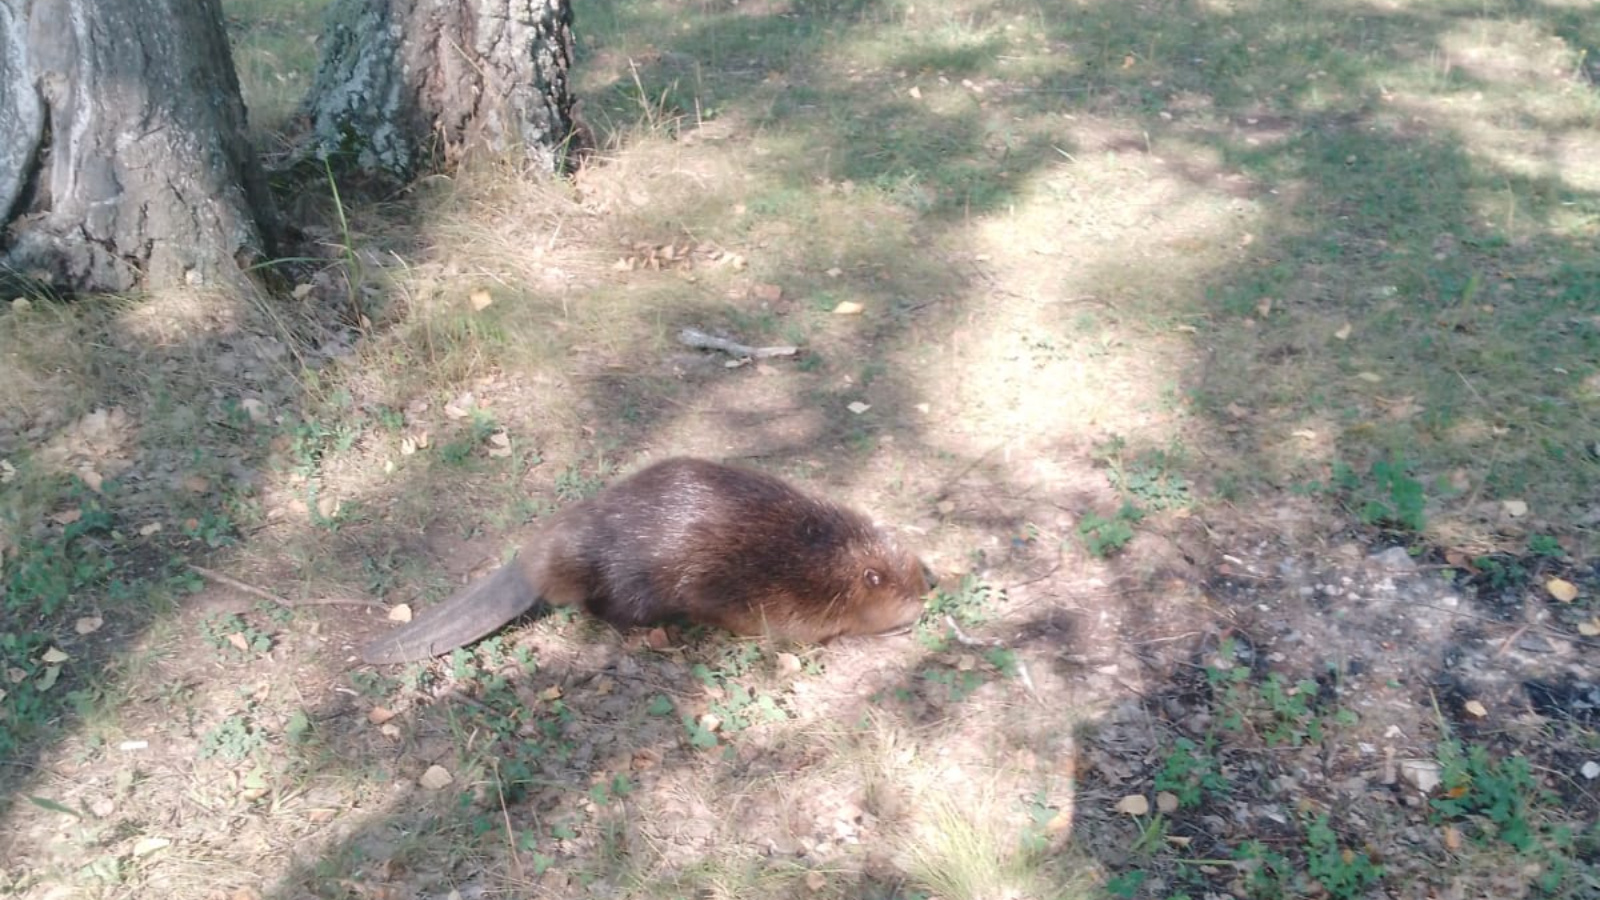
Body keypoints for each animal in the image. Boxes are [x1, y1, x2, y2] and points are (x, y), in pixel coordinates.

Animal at [363, 454, 934, 659]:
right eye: (892, 583)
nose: (926, 591)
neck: (822, 553)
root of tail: (528, 566)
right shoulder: (790, 603)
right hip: (637, 587)